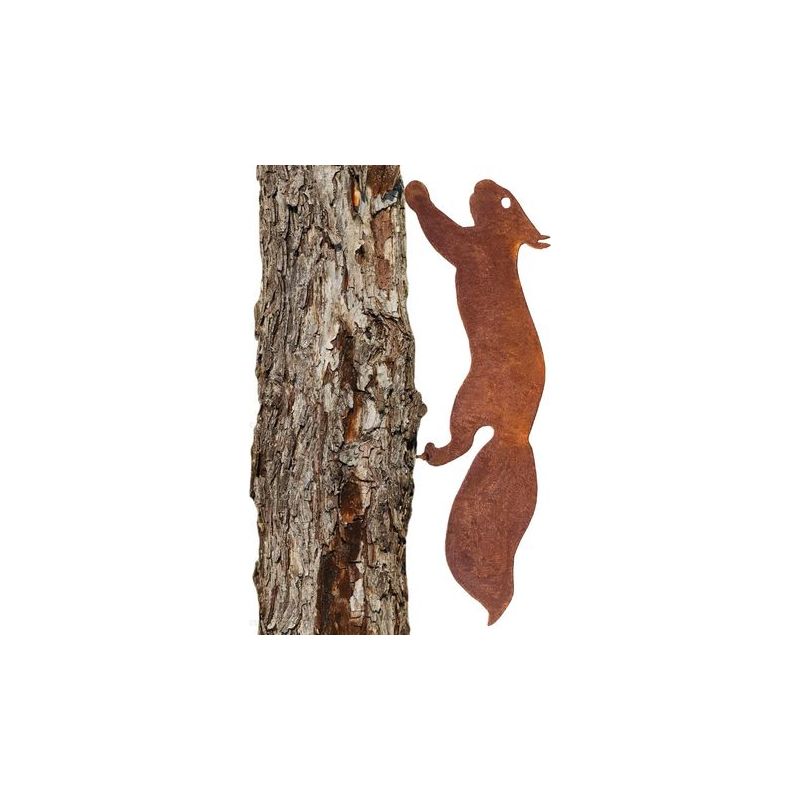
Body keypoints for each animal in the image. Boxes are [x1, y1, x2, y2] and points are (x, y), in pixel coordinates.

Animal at [405, 178, 549, 625]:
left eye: (504, 200)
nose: (482, 182)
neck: (502, 245)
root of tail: (516, 434)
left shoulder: (471, 248)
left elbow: (443, 233)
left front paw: (416, 193)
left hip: (468, 400)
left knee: (462, 443)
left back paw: (431, 452)